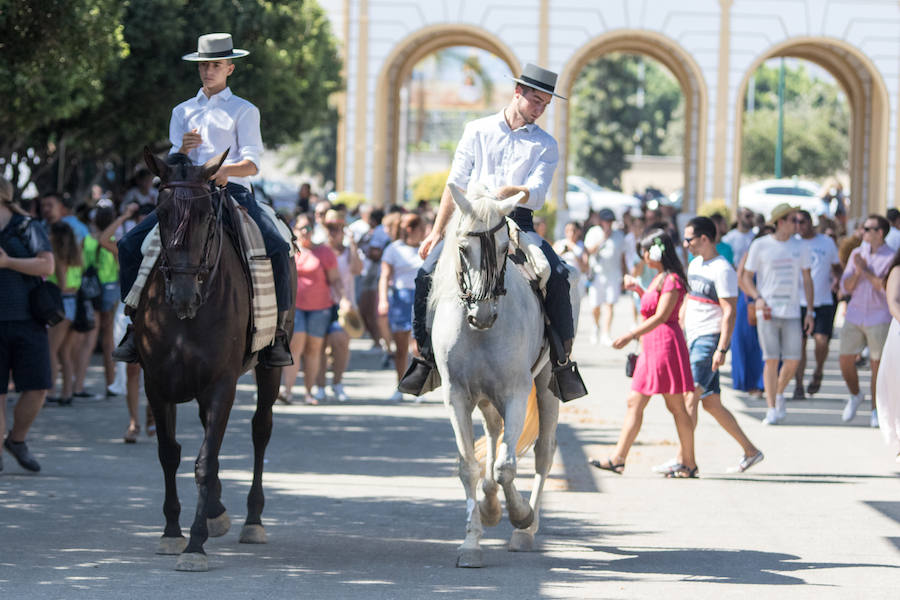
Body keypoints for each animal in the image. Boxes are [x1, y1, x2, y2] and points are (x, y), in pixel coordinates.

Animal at [136, 148, 296, 568]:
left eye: (207, 215)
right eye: (160, 213)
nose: (183, 295)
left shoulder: (221, 385)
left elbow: (205, 462)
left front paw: (194, 545)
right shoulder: (156, 383)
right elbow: (169, 454)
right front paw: (172, 532)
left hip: (268, 371)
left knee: (260, 431)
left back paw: (252, 520)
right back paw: (216, 512)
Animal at [430, 183, 584, 568]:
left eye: (503, 249)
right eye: (462, 248)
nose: (482, 314)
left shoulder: (515, 392)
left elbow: (506, 467)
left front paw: (520, 515)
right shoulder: (457, 396)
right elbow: (470, 466)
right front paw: (472, 542)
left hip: (546, 387)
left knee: (543, 452)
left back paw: (526, 531)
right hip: (486, 397)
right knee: (495, 434)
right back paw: (489, 506)